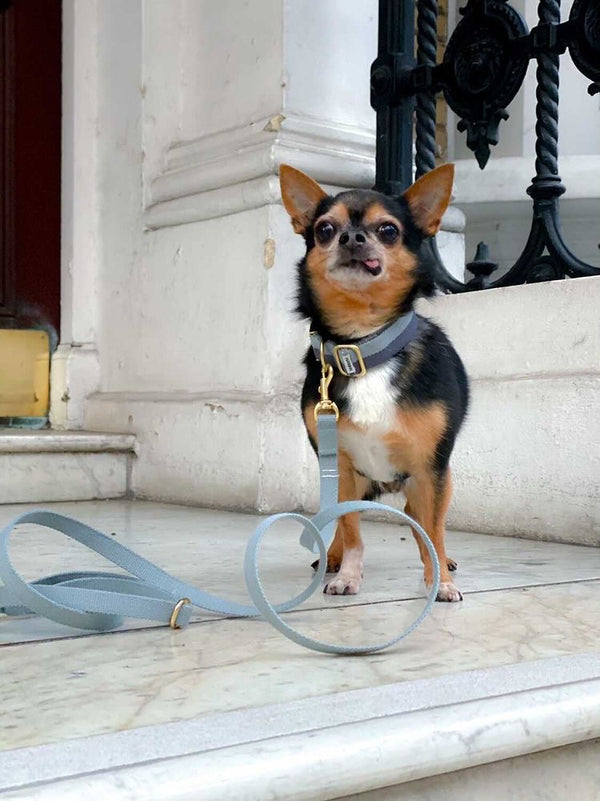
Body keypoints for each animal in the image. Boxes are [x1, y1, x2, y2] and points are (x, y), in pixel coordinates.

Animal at [282, 162, 468, 600]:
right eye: (324, 229)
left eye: (388, 230)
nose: (351, 237)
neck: (363, 347)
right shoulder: (342, 468)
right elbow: (351, 531)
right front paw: (348, 574)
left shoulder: (430, 471)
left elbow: (432, 532)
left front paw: (440, 581)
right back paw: (331, 558)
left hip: (434, 480)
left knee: (422, 520)